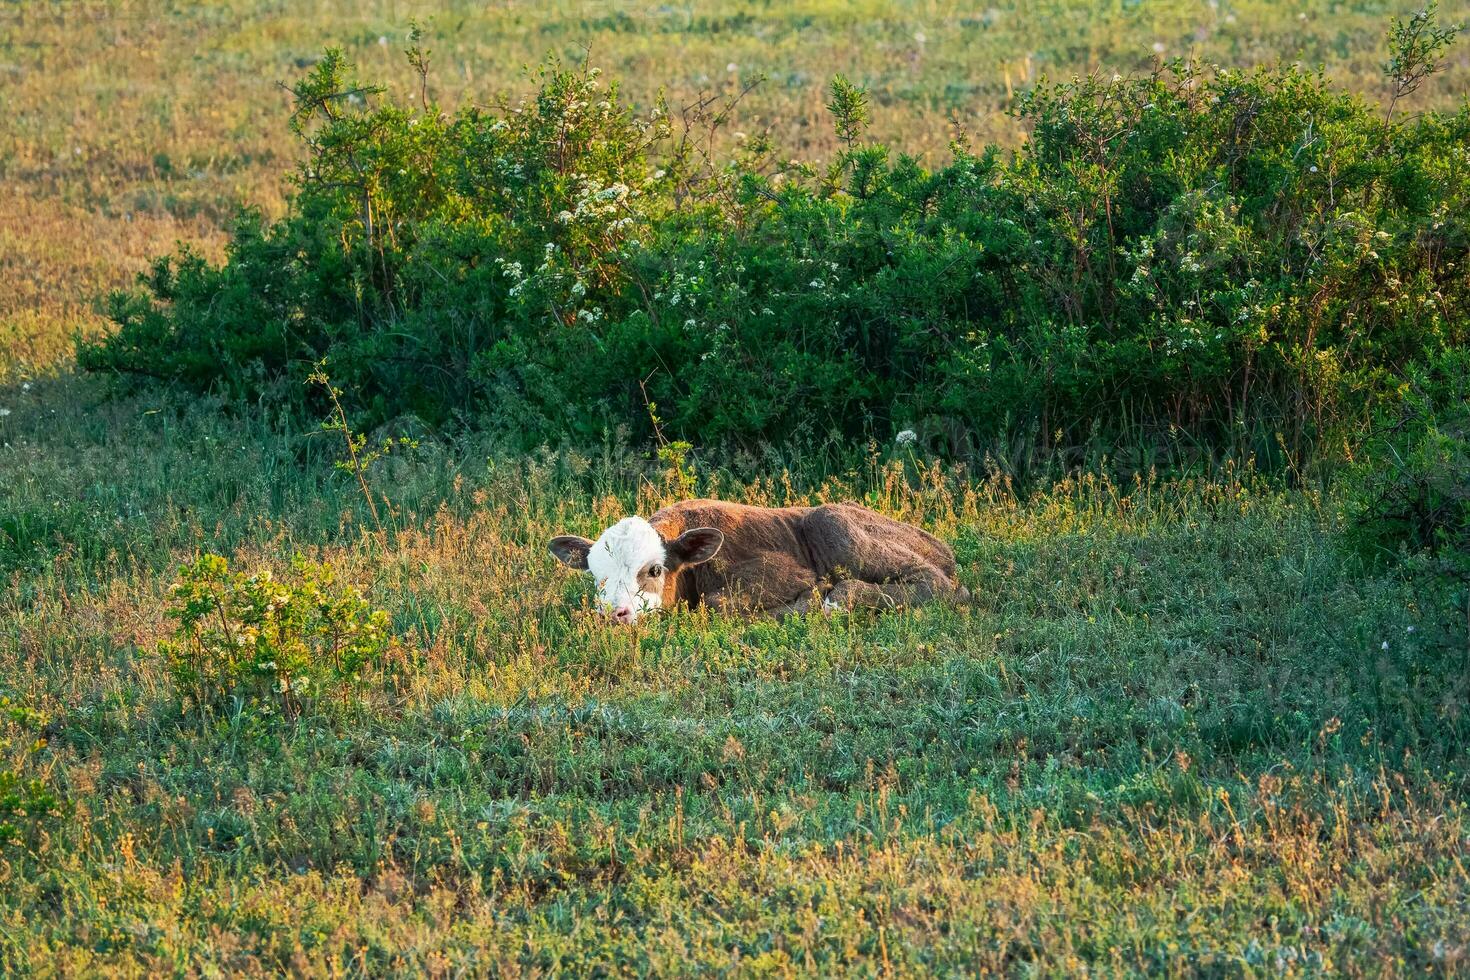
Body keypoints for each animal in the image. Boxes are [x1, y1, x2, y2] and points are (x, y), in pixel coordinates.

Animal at [549, 502, 964, 625]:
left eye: (653, 570)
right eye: (597, 577)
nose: (613, 614)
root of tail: (941, 545)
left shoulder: (785, 573)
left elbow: (717, 603)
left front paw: (814, 597)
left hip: (832, 522)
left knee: (940, 585)